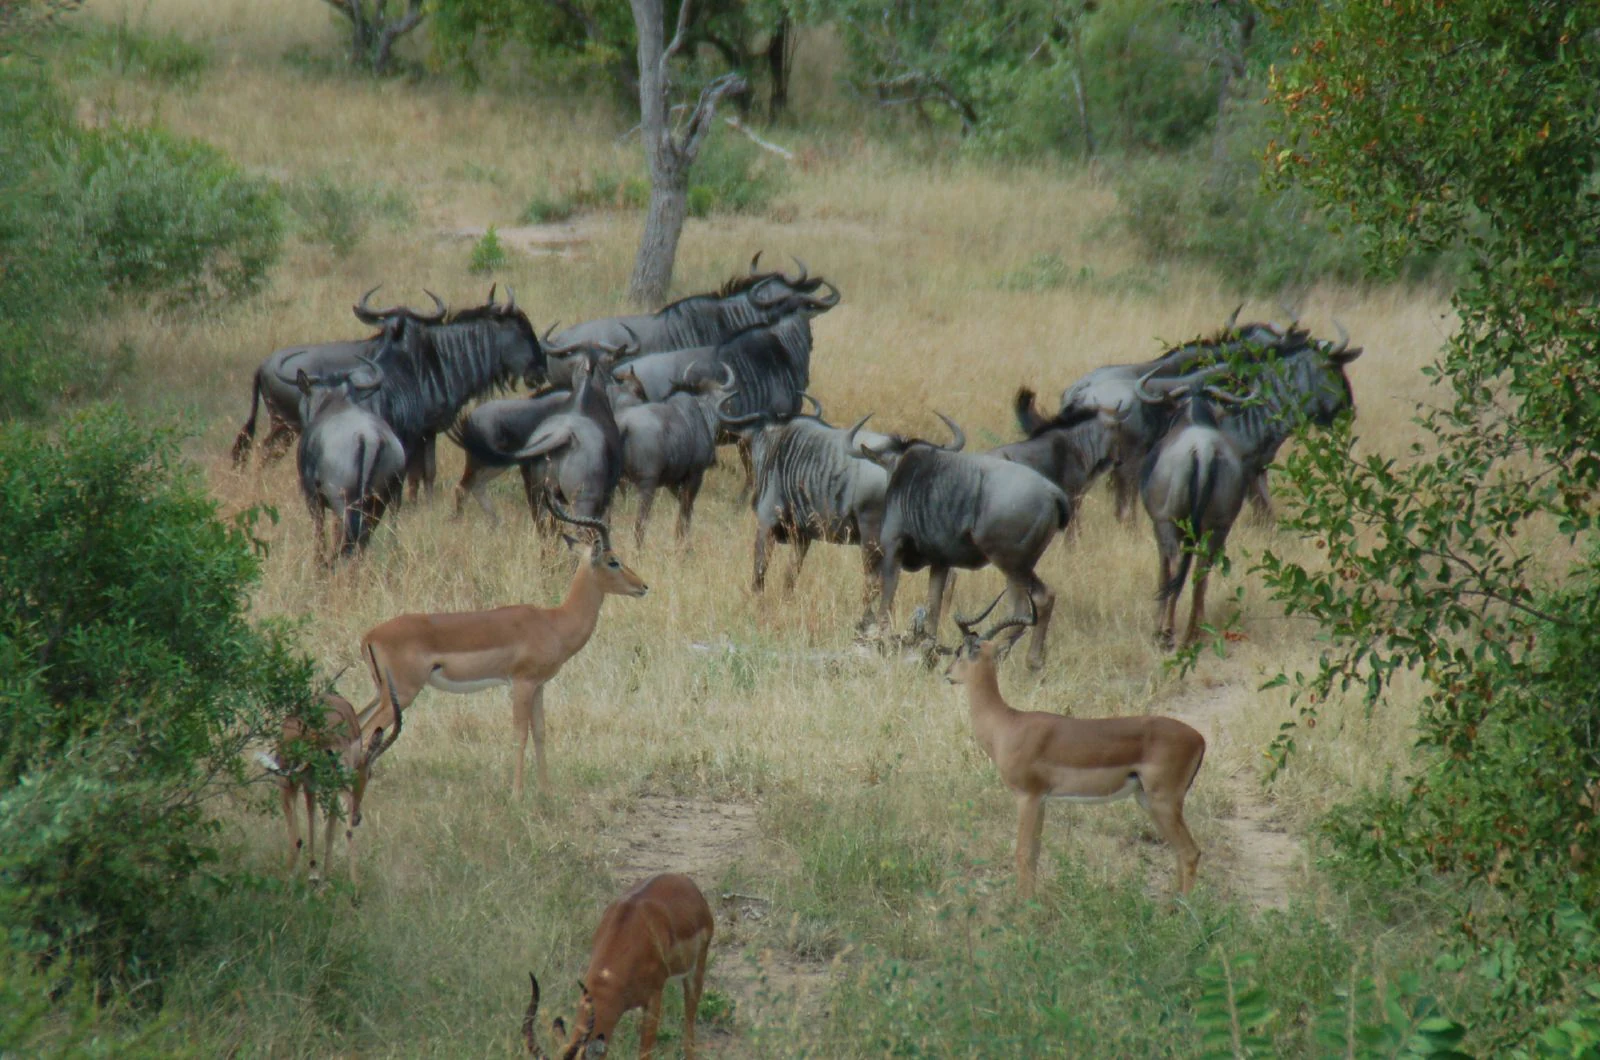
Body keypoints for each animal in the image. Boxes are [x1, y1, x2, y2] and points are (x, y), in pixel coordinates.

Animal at [258, 662, 404, 886]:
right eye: (369, 773)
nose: (358, 817)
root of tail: (311, 733)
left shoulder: (309, 782)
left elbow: (311, 815)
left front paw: (314, 873)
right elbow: (330, 827)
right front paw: (323, 875)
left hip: (286, 779)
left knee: (296, 838)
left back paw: (289, 879)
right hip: (334, 784)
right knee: (346, 829)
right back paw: (354, 888)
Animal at [358, 500, 647, 797]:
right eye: (613, 561)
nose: (643, 586)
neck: (554, 622)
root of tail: (369, 635)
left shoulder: (539, 685)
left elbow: (540, 732)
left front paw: (546, 791)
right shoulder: (521, 683)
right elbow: (520, 734)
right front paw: (517, 794)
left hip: (382, 693)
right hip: (403, 694)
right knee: (367, 732)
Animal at [945, 594, 1206, 897]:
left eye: (959, 651)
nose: (947, 673)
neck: (1007, 724)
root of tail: (1200, 738)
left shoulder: (1027, 797)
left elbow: (1023, 853)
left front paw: (1021, 905)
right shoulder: (1042, 799)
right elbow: (1035, 854)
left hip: (1162, 801)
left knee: (1190, 852)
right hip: (1149, 800)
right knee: (1179, 853)